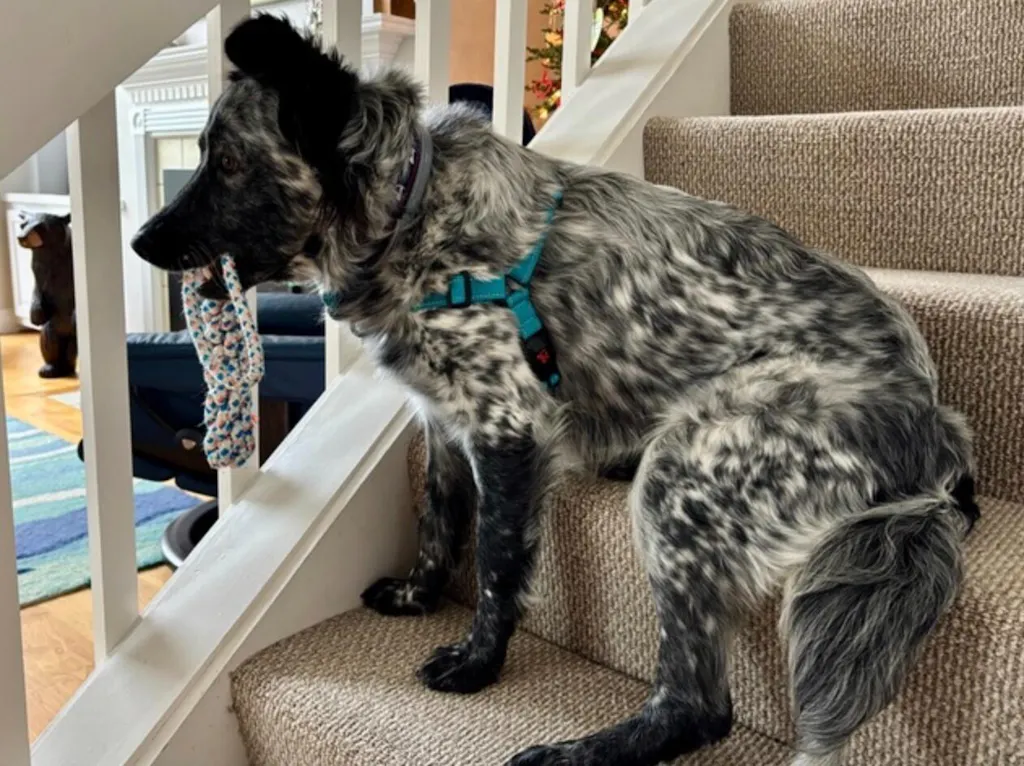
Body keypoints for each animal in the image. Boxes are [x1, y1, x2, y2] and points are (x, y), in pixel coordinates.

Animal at [132, 15, 978, 766]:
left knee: (698, 705)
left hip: (685, 476)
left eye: (227, 162)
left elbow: (497, 561)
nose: (140, 242)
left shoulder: (508, 429)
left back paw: (577, 753)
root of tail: (933, 426)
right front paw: (418, 595)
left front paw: (478, 663)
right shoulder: (443, 418)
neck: (415, 214)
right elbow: (439, 519)